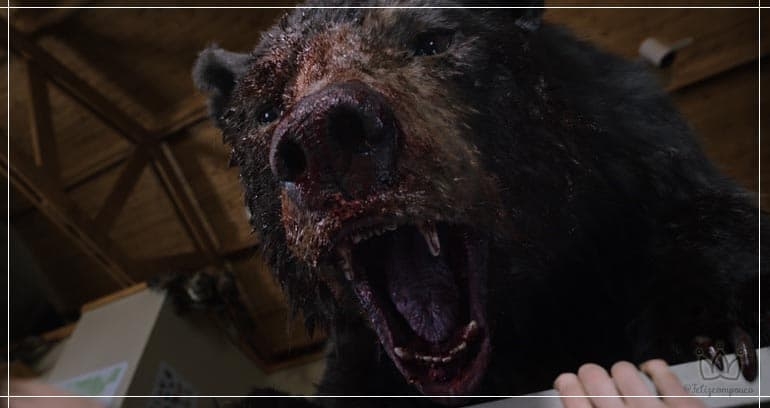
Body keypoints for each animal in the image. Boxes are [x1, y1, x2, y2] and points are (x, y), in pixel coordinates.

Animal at [193, 2, 765, 404]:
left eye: (432, 41)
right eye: (266, 109)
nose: (324, 135)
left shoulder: (638, 156)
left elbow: (709, 221)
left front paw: (711, 334)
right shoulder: (360, 362)